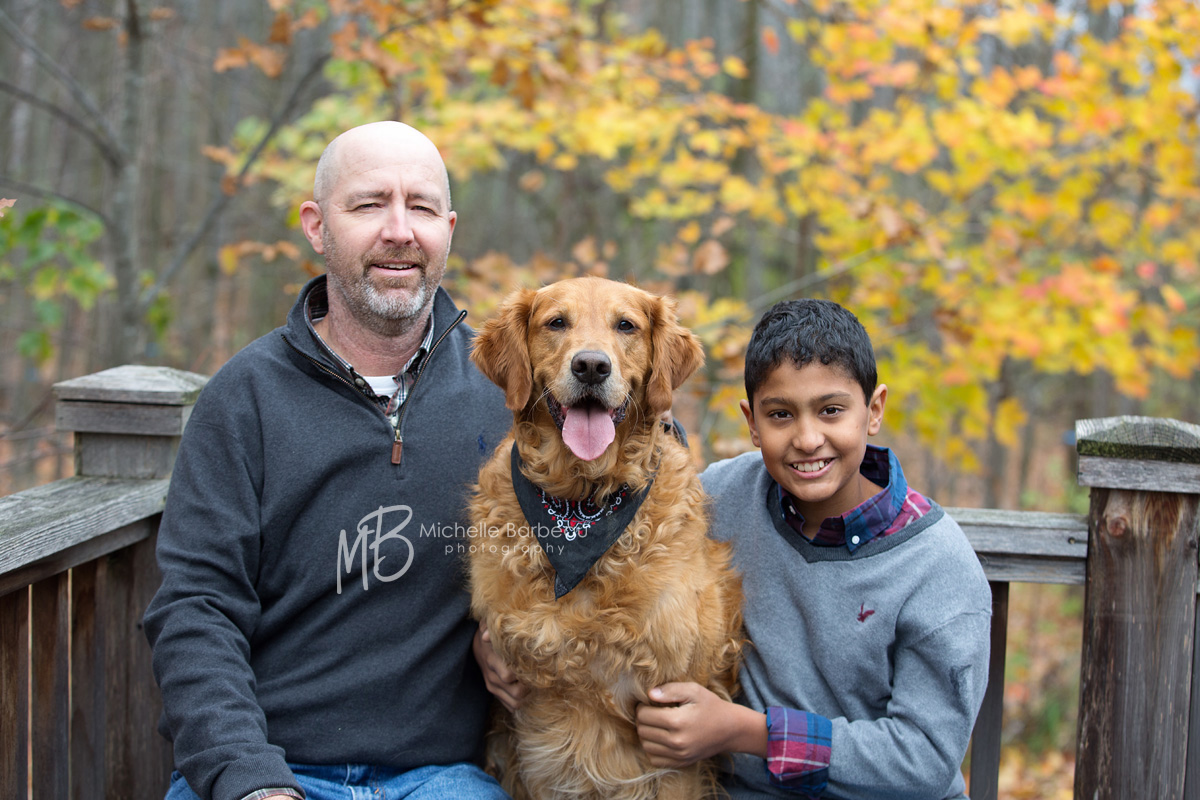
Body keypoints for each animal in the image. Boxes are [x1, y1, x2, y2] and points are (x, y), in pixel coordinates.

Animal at [465, 275, 739, 800]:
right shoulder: (537, 733)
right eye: (556, 322)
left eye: (626, 326)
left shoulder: (675, 735)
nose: (591, 366)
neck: (583, 502)